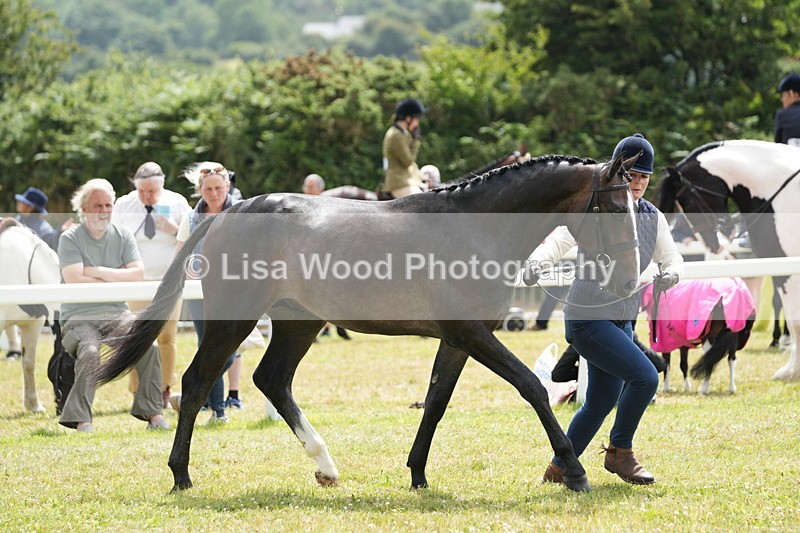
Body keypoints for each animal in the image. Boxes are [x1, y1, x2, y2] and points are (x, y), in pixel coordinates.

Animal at [95, 153, 643, 495]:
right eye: (617, 206)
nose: (627, 278)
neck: (474, 227)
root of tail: (226, 214)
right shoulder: (473, 333)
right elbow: (531, 386)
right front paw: (575, 472)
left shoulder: (458, 339)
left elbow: (436, 401)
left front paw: (418, 475)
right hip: (236, 320)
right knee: (195, 383)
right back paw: (181, 475)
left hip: (298, 323)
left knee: (273, 380)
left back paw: (326, 467)